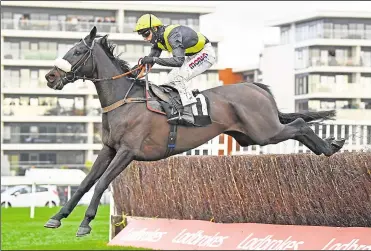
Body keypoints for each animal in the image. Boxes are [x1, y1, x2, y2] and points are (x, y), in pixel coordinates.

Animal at [43, 27, 346, 237]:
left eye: (77, 52)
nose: (50, 76)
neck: (125, 100)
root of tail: (254, 86)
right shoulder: (109, 149)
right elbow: (85, 183)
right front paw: (57, 217)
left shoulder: (128, 151)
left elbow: (102, 183)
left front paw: (84, 224)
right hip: (251, 135)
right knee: (298, 127)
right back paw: (330, 146)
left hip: (264, 132)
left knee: (300, 124)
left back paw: (330, 146)